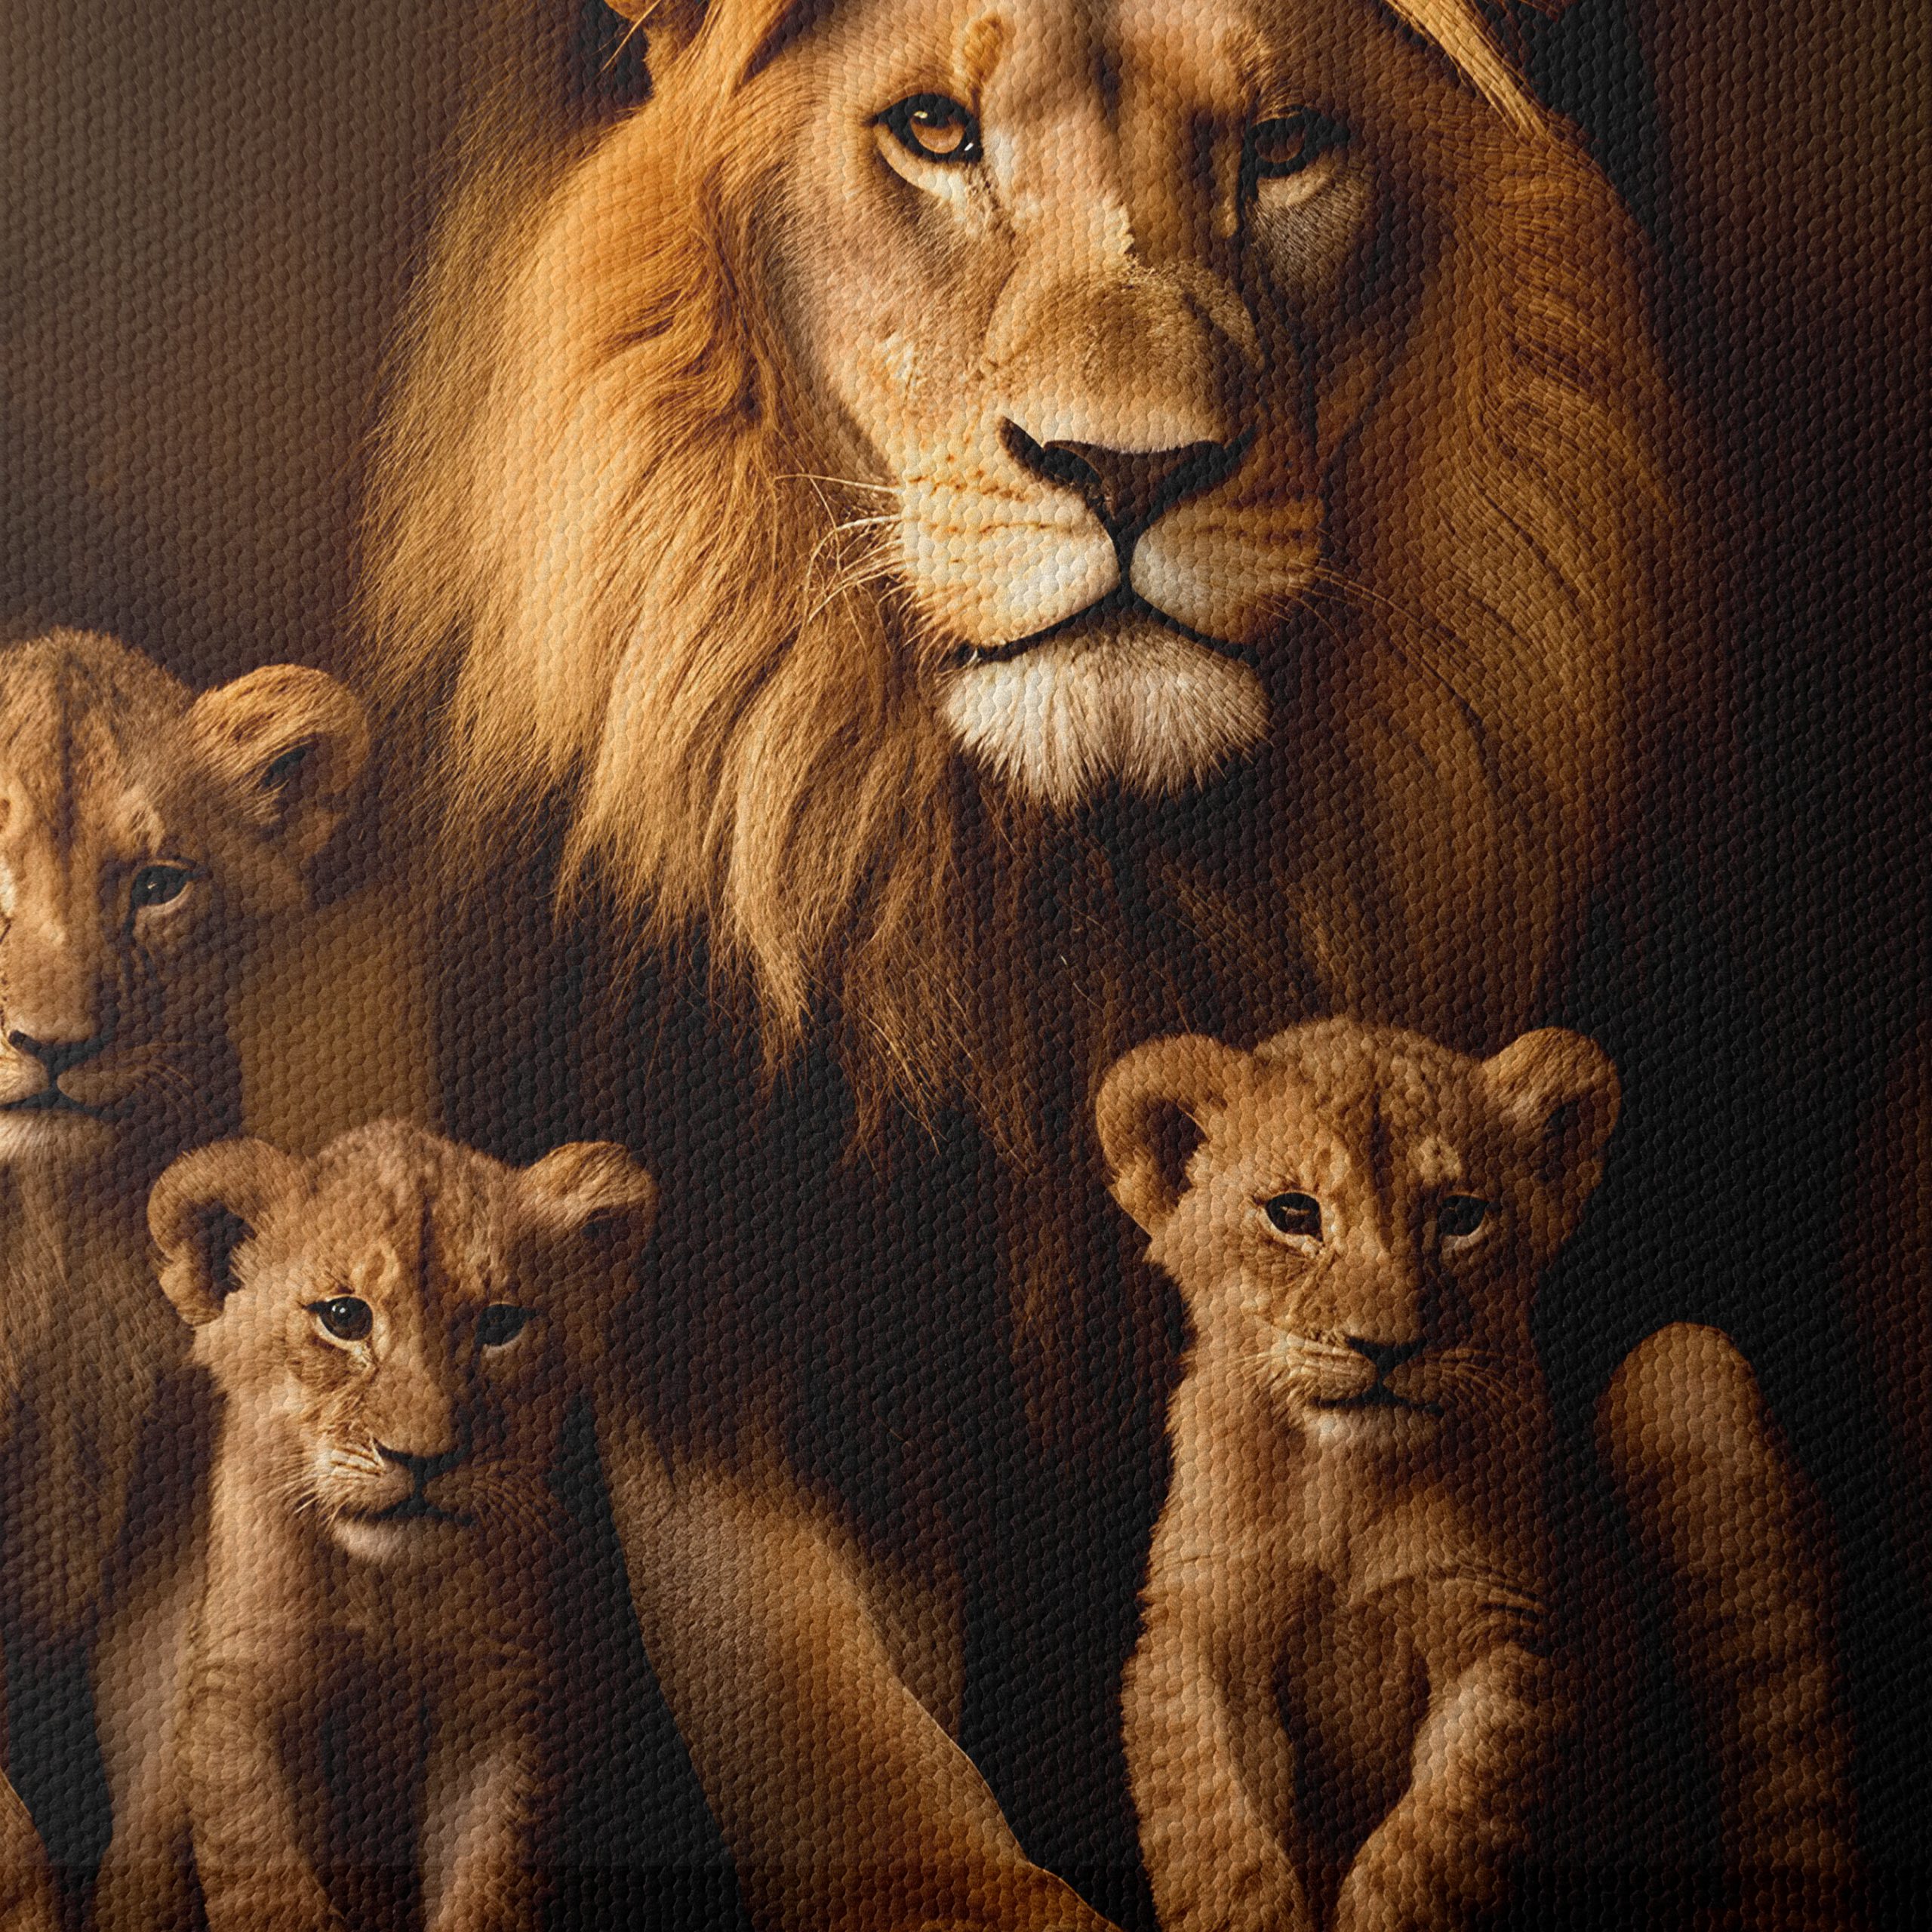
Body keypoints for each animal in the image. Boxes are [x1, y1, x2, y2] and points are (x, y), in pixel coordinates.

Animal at [0, 626, 367, 1914]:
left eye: (157, 884)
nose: (53, 1048)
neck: (50, 1222)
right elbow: (13, 1840)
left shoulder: (177, 1504)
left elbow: (173, 1781)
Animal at [91, 1122, 657, 1932]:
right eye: (344, 1317)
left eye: (500, 1325)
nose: (422, 1459)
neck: (384, 1589)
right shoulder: (237, 1688)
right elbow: (266, 1883)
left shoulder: (496, 1706)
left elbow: (486, 1882)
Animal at [1102, 1020, 1856, 1931]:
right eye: (1293, 1213)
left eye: (1461, 1216)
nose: (1384, 1346)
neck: (1345, 1482)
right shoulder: (1198, 1633)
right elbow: (1218, 1850)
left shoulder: (1500, 1644)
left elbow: (1419, 1861)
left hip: (1685, 1367)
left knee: (1793, 1791)